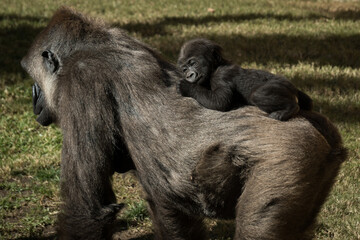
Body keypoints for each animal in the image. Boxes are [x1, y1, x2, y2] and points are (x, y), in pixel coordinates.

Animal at [177, 38, 312, 121]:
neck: (215, 67)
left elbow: (220, 101)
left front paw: (186, 86)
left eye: (193, 63)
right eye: (184, 69)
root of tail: (294, 89)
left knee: (258, 95)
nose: (188, 75)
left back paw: (289, 109)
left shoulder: (221, 75)